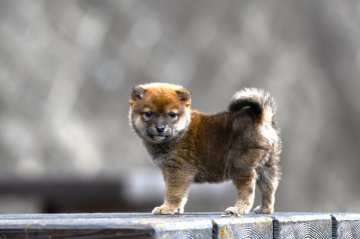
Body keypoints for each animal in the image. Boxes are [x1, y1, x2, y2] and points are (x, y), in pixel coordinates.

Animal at [129, 83, 282, 216]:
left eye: (172, 115)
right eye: (148, 114)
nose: (160, 128)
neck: (181, 131)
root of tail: (261, 119)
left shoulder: (178, 170)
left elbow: (172, 192)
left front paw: (166, 208)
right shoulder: (171, 171)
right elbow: (179, 193)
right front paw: (176, 209)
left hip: (240, 166)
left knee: (248, 189)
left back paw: (238, 209)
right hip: (266, 166)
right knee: (269, 188)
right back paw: (264, 209)